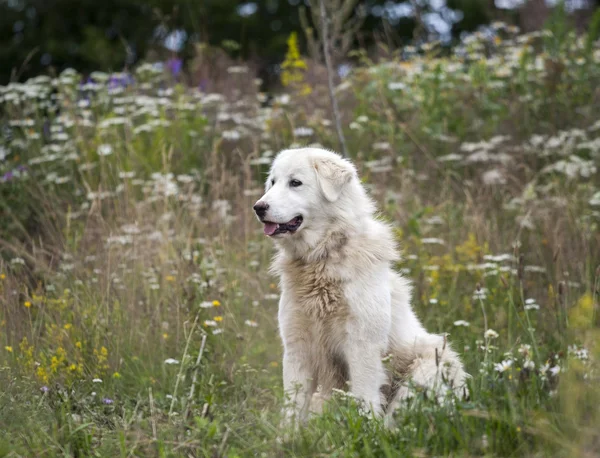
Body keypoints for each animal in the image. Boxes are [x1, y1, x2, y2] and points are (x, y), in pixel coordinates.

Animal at [253, 148, 468, 424]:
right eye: (272, 182)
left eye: (295, 183)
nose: (258, 207)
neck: (321, 259)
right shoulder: (297, 347)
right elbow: (293, 407)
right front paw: (287, 436)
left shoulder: (362, 345)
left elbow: (364, 398)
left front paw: (365, 430)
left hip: (428, 369)